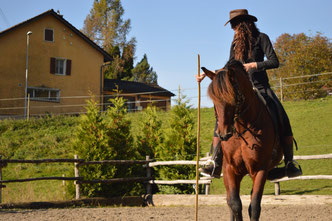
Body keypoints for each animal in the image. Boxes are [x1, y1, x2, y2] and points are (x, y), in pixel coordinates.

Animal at [205, 59, 282, 220]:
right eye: (214, 100)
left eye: (231, 97)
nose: (223, 134)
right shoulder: (230, 169)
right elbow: (235, 204)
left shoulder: (260, 170)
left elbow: (254, 207)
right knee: (230, 202)